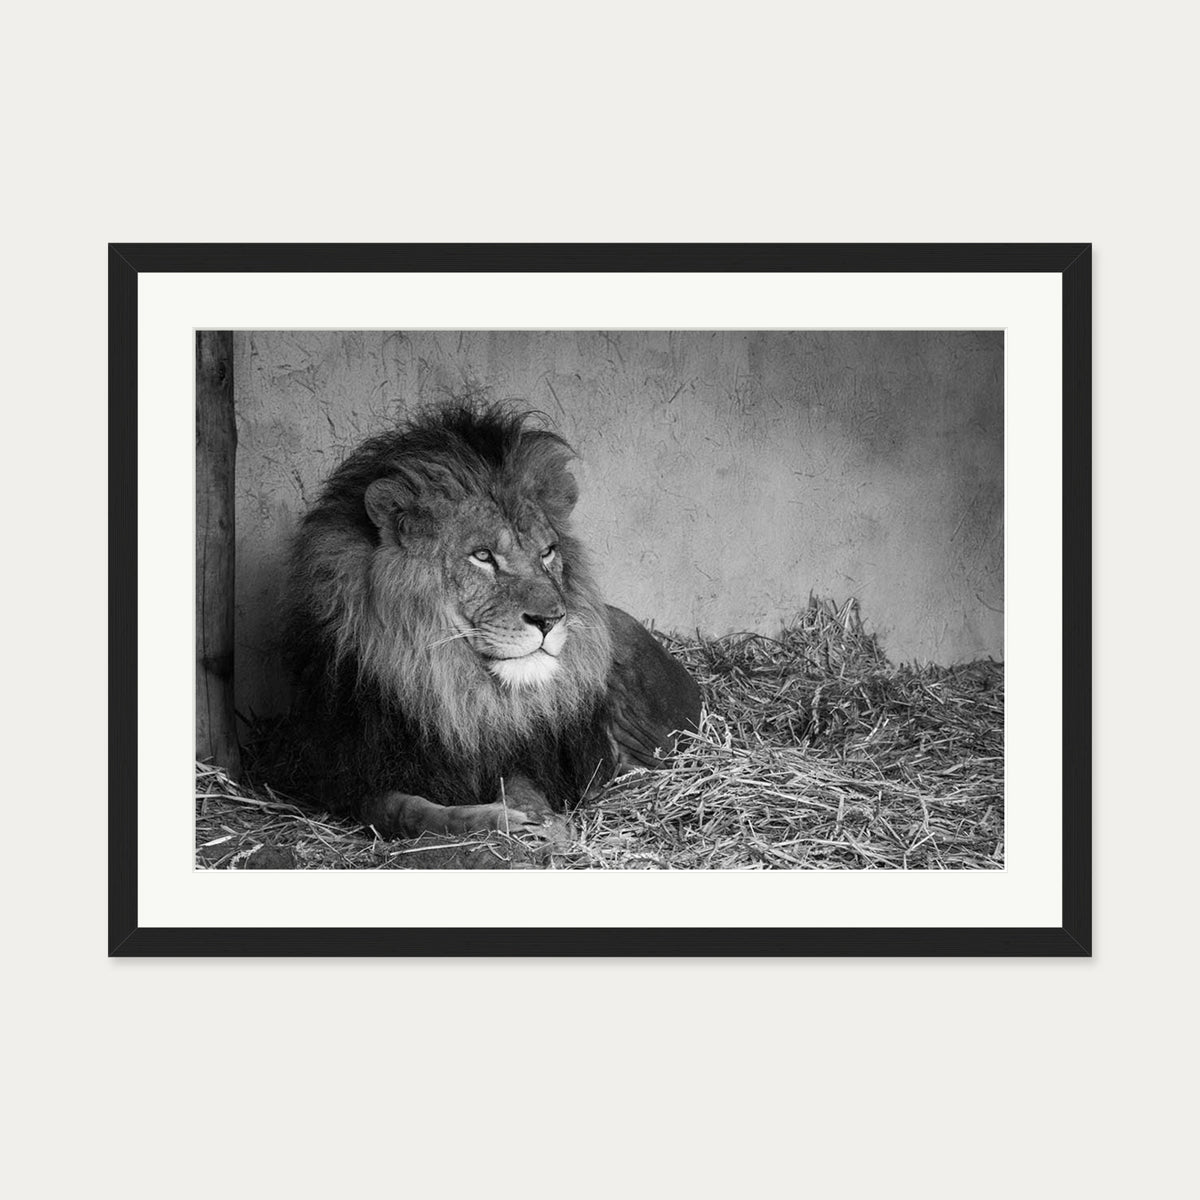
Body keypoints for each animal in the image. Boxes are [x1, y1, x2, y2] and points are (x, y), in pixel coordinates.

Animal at [283, 401, 702, 840]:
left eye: (547, 552)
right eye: (482, 556)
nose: (550, 619)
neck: (453, 689)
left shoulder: (524, 755)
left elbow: (522, 784)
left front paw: (542, 821)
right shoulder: (351, 776)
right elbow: (407, 811)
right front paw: (495, 819)